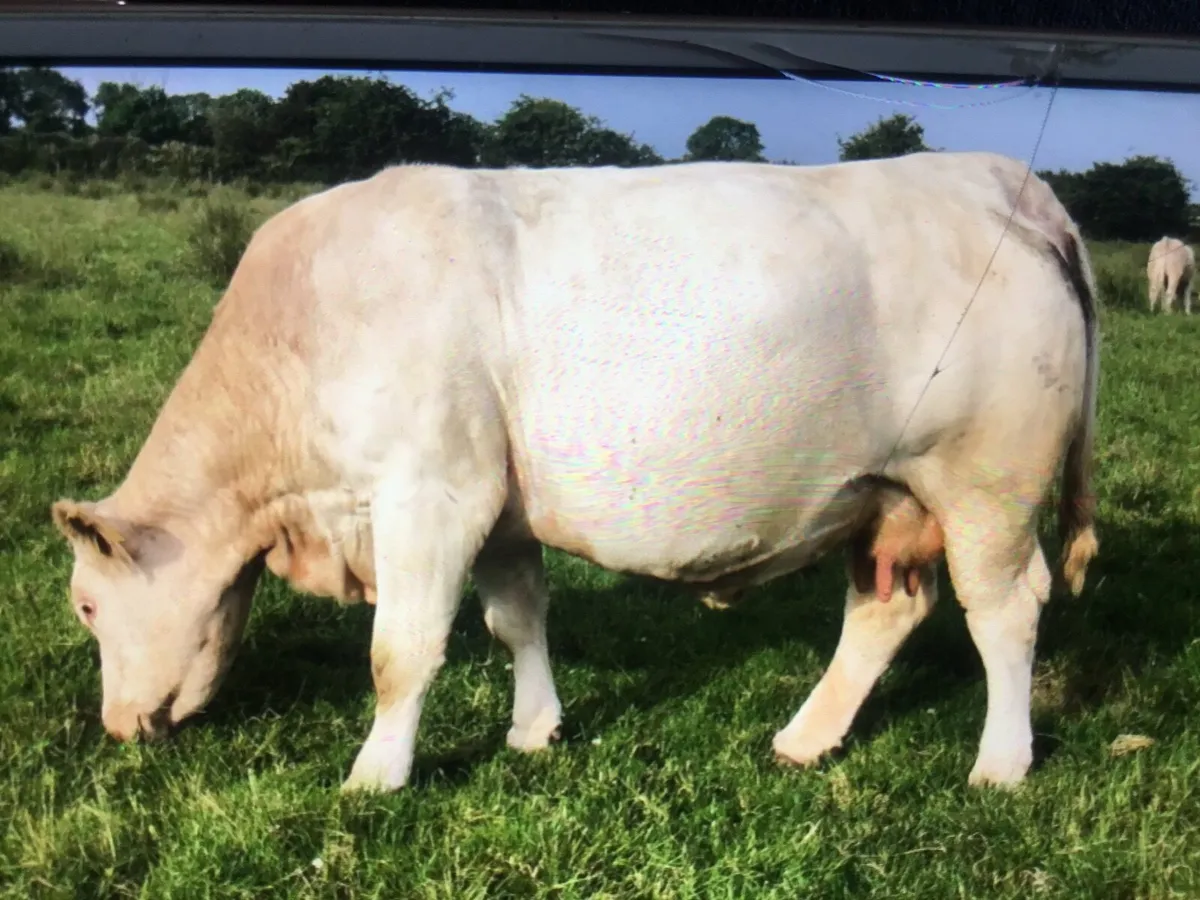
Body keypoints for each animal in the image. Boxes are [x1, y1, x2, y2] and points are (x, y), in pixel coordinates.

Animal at [50, 150, 1100, 795]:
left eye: (89, 606)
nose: (116, 726)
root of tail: (996, 179)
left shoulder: (428, 494)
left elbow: (400, 653)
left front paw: (375, 777)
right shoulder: (498, 507)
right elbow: (517, 619)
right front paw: (534, 730)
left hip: (986, 483)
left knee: (1006, 609)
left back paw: (1000, 763)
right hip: (887, 496)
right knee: (886, 610)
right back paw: (804, 740)